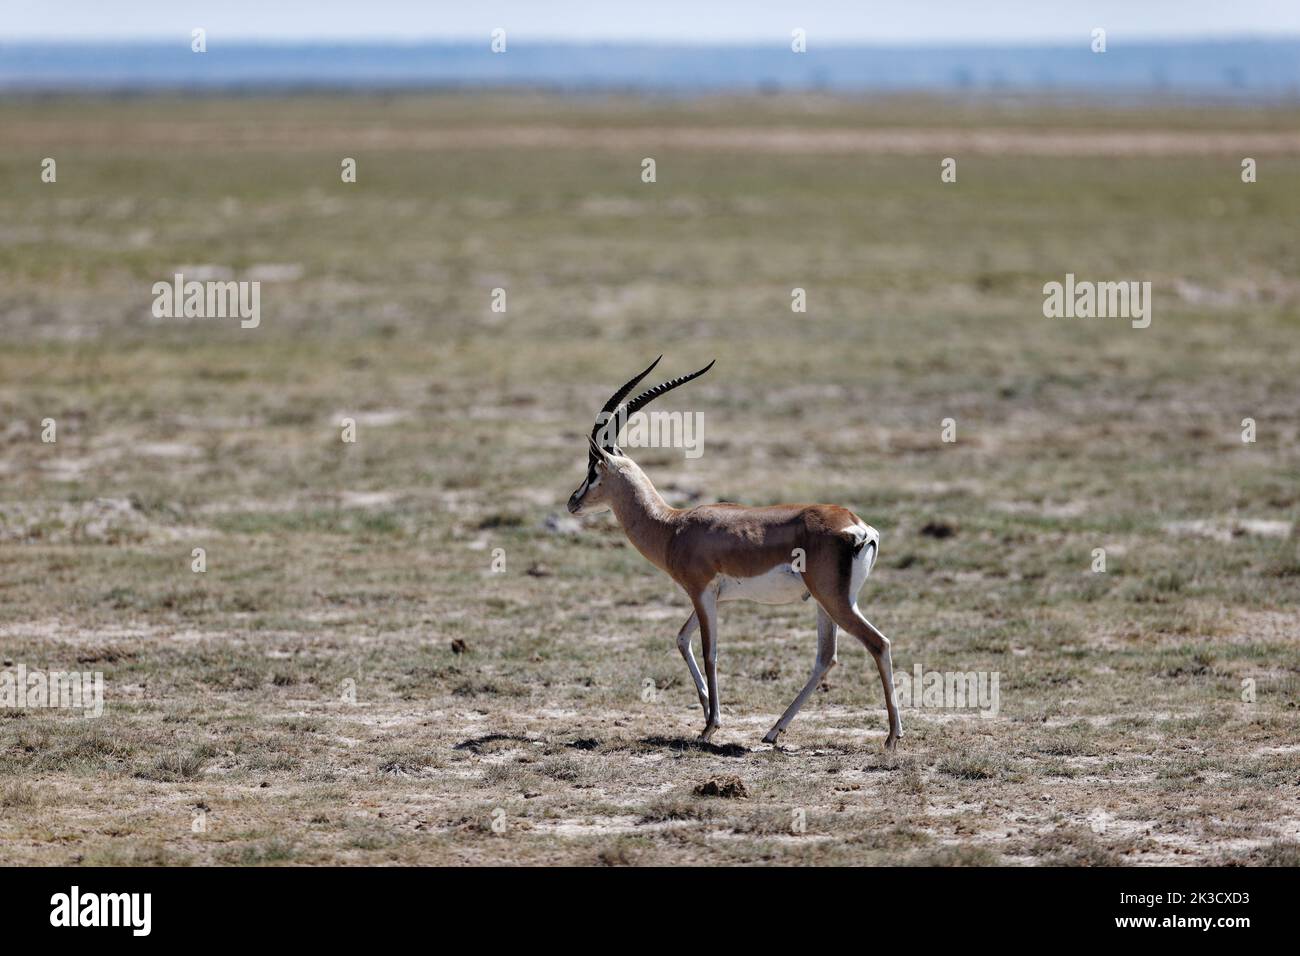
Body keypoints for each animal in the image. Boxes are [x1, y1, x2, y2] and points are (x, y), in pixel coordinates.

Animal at [567, 357, 902, 750]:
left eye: (593, 470)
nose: (572, 502)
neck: (672, 526)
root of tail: (857, 525)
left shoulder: (700, 592)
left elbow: (710, 652)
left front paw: (710, 726)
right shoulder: (714, 596)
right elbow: (682, 639)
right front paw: (705, 713)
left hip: (836, 601)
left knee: (878, 643)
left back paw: (892, 737)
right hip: (825, 602)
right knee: (826, 657)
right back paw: (773, 731)